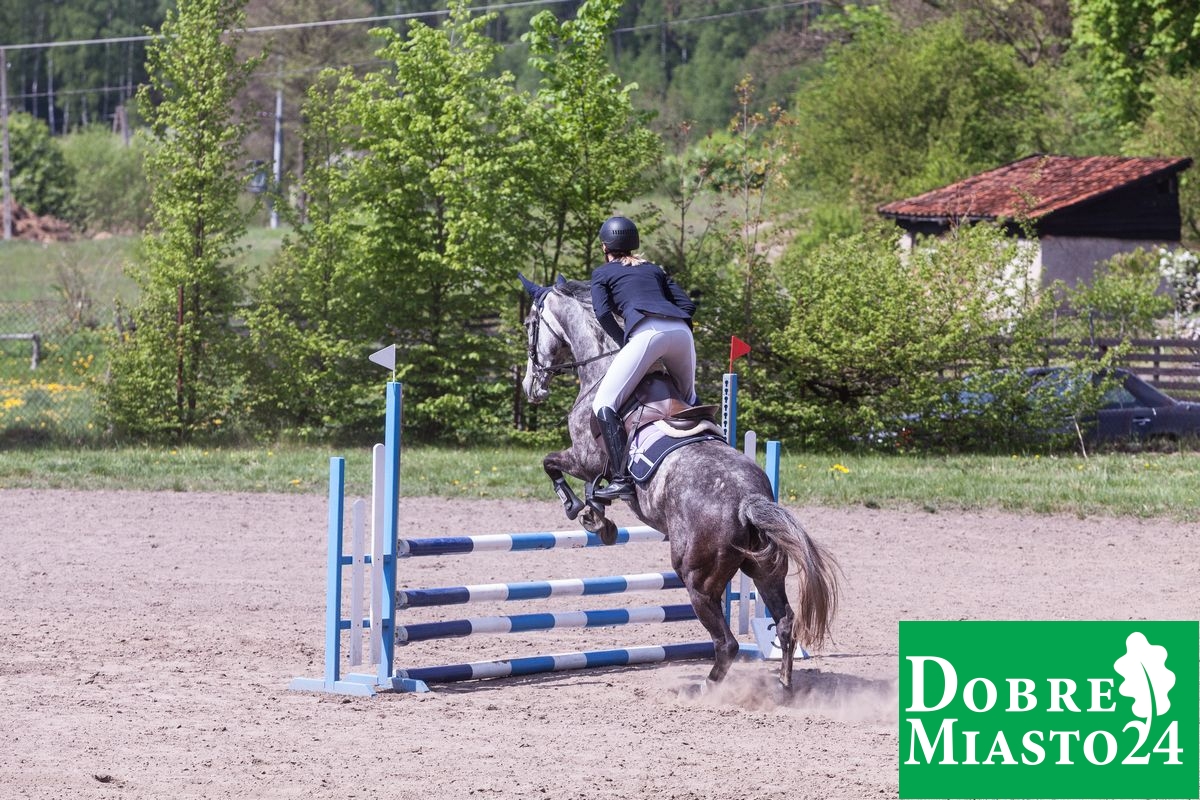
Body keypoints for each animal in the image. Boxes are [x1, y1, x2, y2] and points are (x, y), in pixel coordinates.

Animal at [518, 274, 840, 688]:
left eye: (530, 324)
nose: (531, 387)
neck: (603, 364)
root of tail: (748, 500)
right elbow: (582, 484)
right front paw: (598, 516)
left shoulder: (586, 458)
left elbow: (552, 466)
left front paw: (583, 511)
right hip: (766, 569)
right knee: (784, 622)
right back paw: (783, 684)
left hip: (695, 578)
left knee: (727, 643)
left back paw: (705, 687)